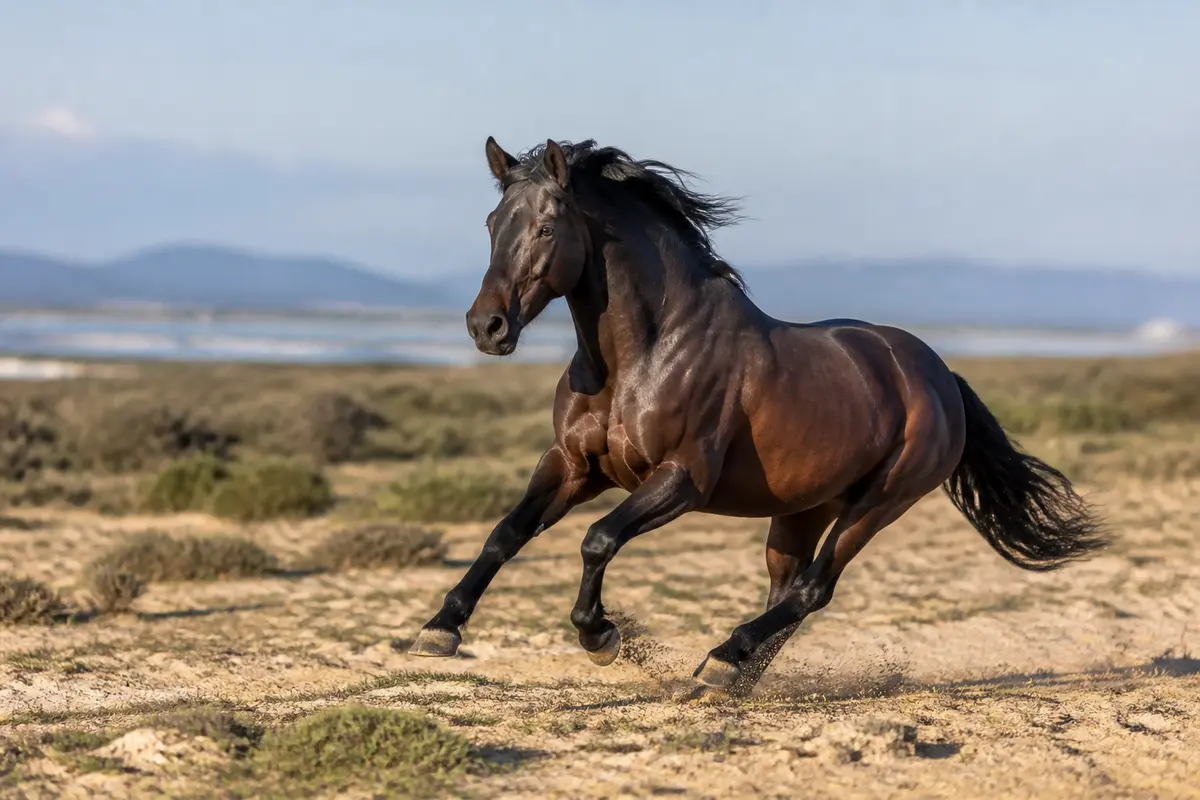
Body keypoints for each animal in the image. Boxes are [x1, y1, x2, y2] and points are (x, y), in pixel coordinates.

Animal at [408, 137, 1107, 694]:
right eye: (493, 221)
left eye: (547, 228)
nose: (486, 327)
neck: (646, 353)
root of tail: (941, 378)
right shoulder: (574, 466)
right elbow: (506, 532)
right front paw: (439, 629)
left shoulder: (681, 481)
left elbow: (597, 539)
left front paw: (601, 636)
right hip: (803, 509)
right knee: (789, 589)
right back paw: (730, 674)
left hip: (879, 502)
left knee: (815, 588)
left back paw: (724, 660)